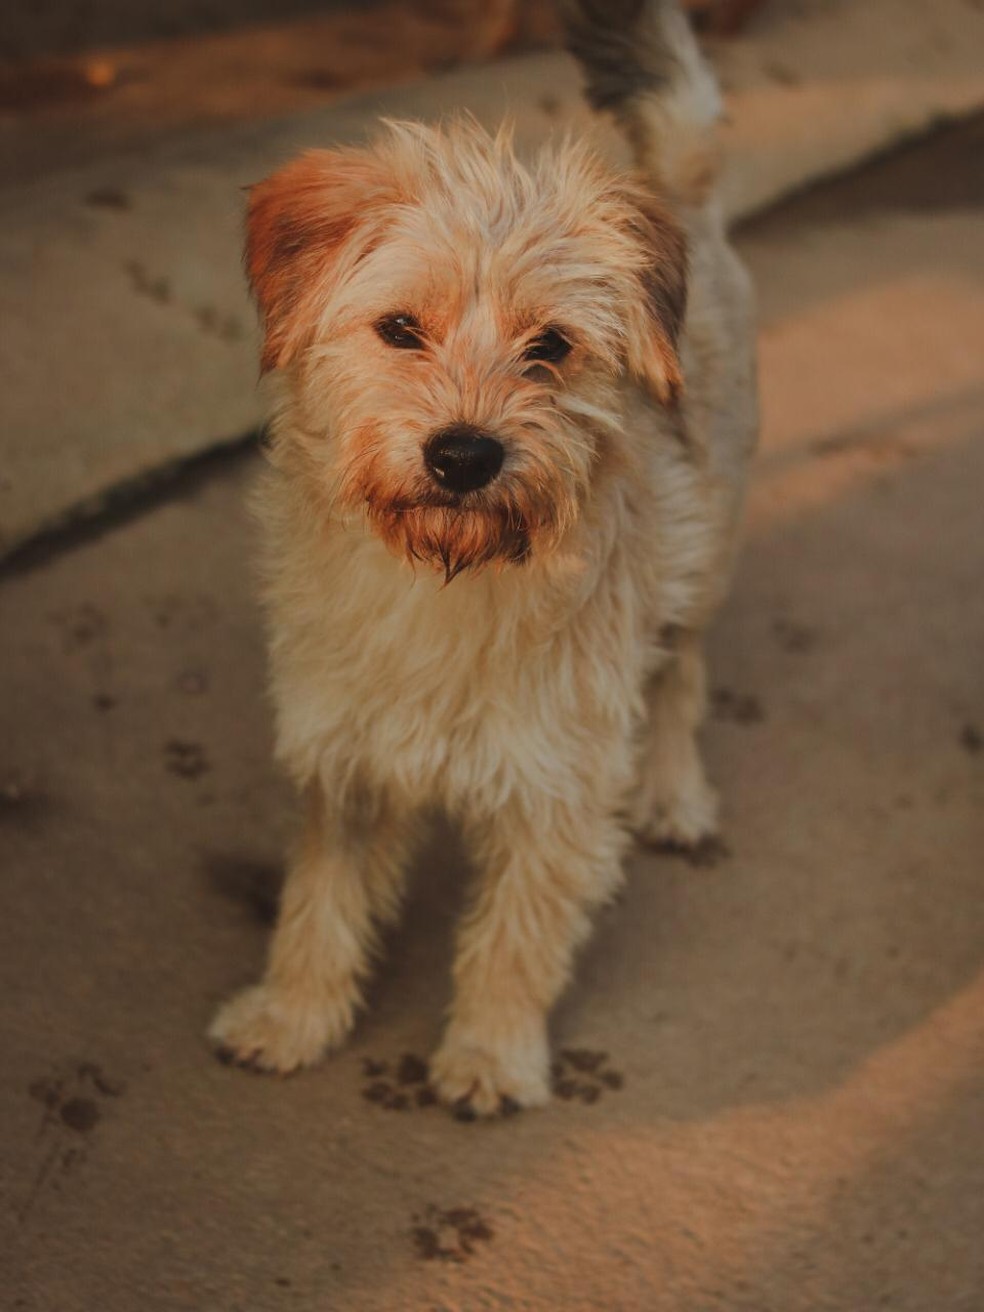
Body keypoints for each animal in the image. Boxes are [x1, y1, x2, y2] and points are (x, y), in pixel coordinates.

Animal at [212, 0, 760, 1117]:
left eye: (550, 346)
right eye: (399, 328)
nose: (464, 455)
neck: (442, 581)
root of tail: (680, 196)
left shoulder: (558, 789)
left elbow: (518, 936)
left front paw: (491, 1053)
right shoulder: (345, 762)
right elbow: (317, 904)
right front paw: (292, 1016)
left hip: (702, 557)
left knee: (681, 672)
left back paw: (673, 791)